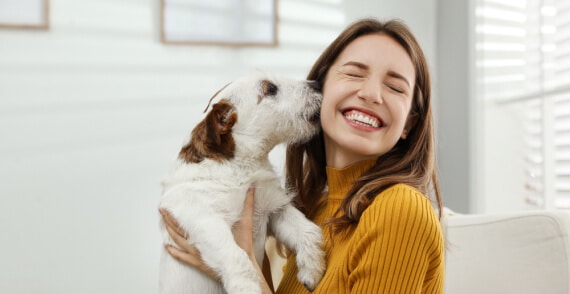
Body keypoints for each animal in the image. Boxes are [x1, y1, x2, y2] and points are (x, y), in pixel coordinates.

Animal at [158, 72, 326, 294]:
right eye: (270, 89)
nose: (317, 84)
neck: (242, 167)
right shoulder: (202, 217)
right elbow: (236, 256)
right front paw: (247, 287)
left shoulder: (275, 210)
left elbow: (309, 231)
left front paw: (312, 270)